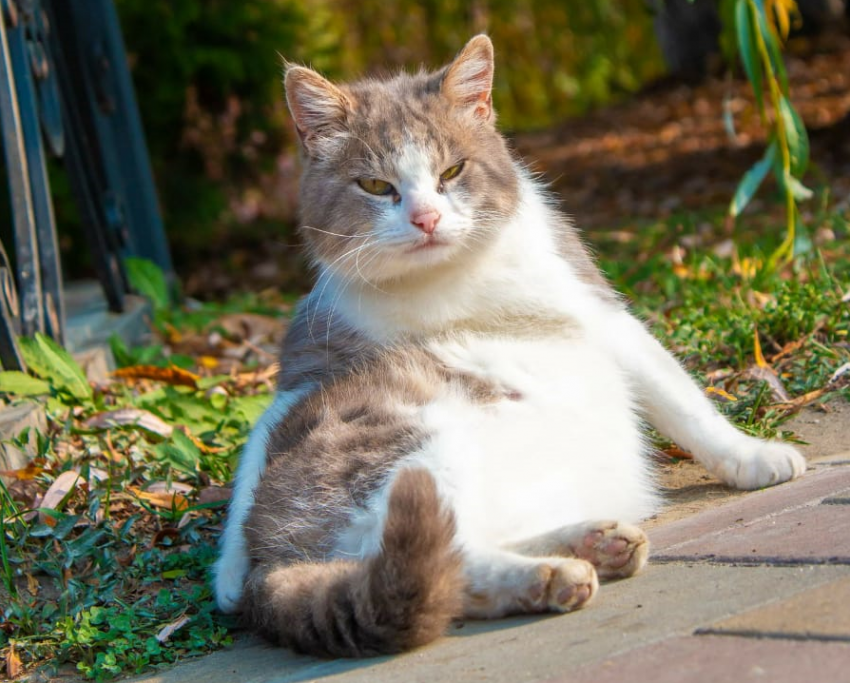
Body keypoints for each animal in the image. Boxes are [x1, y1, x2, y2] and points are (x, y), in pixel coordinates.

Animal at [210, 36, 800, 656]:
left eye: (452, 171)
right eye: (375, 186)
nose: (426, 218)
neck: (449, 287)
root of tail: (277, 557)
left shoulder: (598, 311)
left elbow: (680, 398)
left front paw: (750, 455)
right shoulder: (312, 356)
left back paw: (590, 543)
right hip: (419, 463)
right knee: (434, 565)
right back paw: (552, 573)